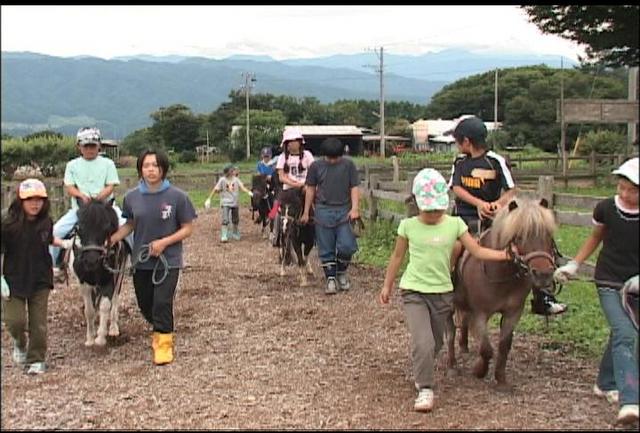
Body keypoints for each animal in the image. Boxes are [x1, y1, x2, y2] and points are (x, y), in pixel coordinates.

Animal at [70, 200, 129, 348]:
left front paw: (101, 337)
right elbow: (89, 310)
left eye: (106, 227)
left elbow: (105, 305)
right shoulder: (83, 282)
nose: (91, 260)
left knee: (115, 299)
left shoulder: (109, 279)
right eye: (79, 228)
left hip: (120, 273)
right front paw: (90, 338)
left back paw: (113, 329)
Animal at [448, 197, 556, 390]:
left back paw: (464, 347)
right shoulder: (480, 313)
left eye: (548, 235)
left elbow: (504, 346)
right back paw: (452, 364)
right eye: (519, 236)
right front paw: (479, 370)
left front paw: (501, 379)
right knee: (451, 330)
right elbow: (486, 349)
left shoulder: (513, 313)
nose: (544, 274)